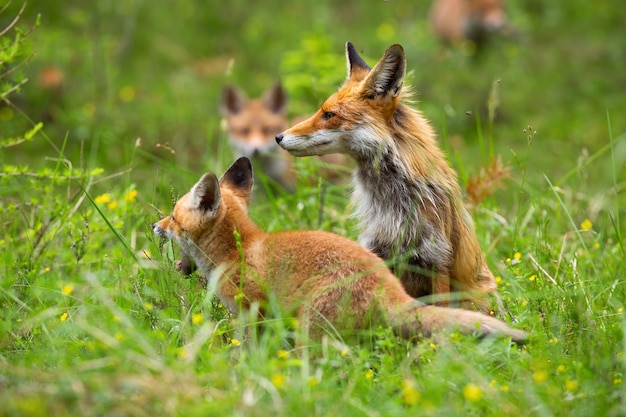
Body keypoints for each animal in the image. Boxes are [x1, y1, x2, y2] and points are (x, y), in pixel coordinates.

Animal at [154, 158, 524, 342]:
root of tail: (390, 289)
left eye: (172, 216)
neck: (237, 251)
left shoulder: (253, 310)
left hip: (311, 329)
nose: (154, 226)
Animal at [276, 42, 500, 314]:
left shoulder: (437, 257)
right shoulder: (378, 250)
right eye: (322, 111)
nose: (278, 137)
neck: (394, 205)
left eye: (329, 115)